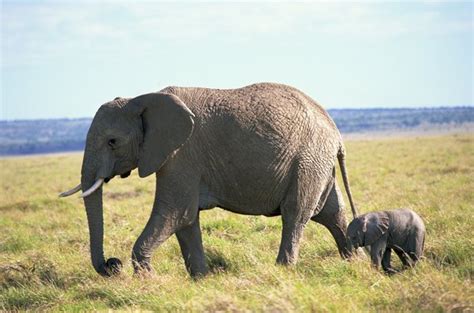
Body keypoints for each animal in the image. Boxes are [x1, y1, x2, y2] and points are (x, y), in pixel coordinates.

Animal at [62, 82, 360, 276]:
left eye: (112, 142)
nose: (113, 265)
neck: (141, 98)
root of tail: (336, 131)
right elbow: (185, 219)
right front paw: (201, 279)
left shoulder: (181, 154)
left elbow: (175, 213)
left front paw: (147, 279)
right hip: (316, 162)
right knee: (331, 212)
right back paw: (353, 262)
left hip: (307, 159)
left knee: (296, 213)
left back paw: (282, 270)